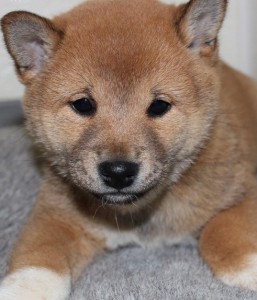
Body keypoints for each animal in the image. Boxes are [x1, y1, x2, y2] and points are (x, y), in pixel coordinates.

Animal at [1, 0, 256, 298]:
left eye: (159, 106)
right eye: (83, 104)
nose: (118, 172)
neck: (138, 214)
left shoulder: (243, 191)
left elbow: (222, 231)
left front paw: (248, 268)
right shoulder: (56, 214)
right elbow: (39, 255)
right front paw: (24, 289)